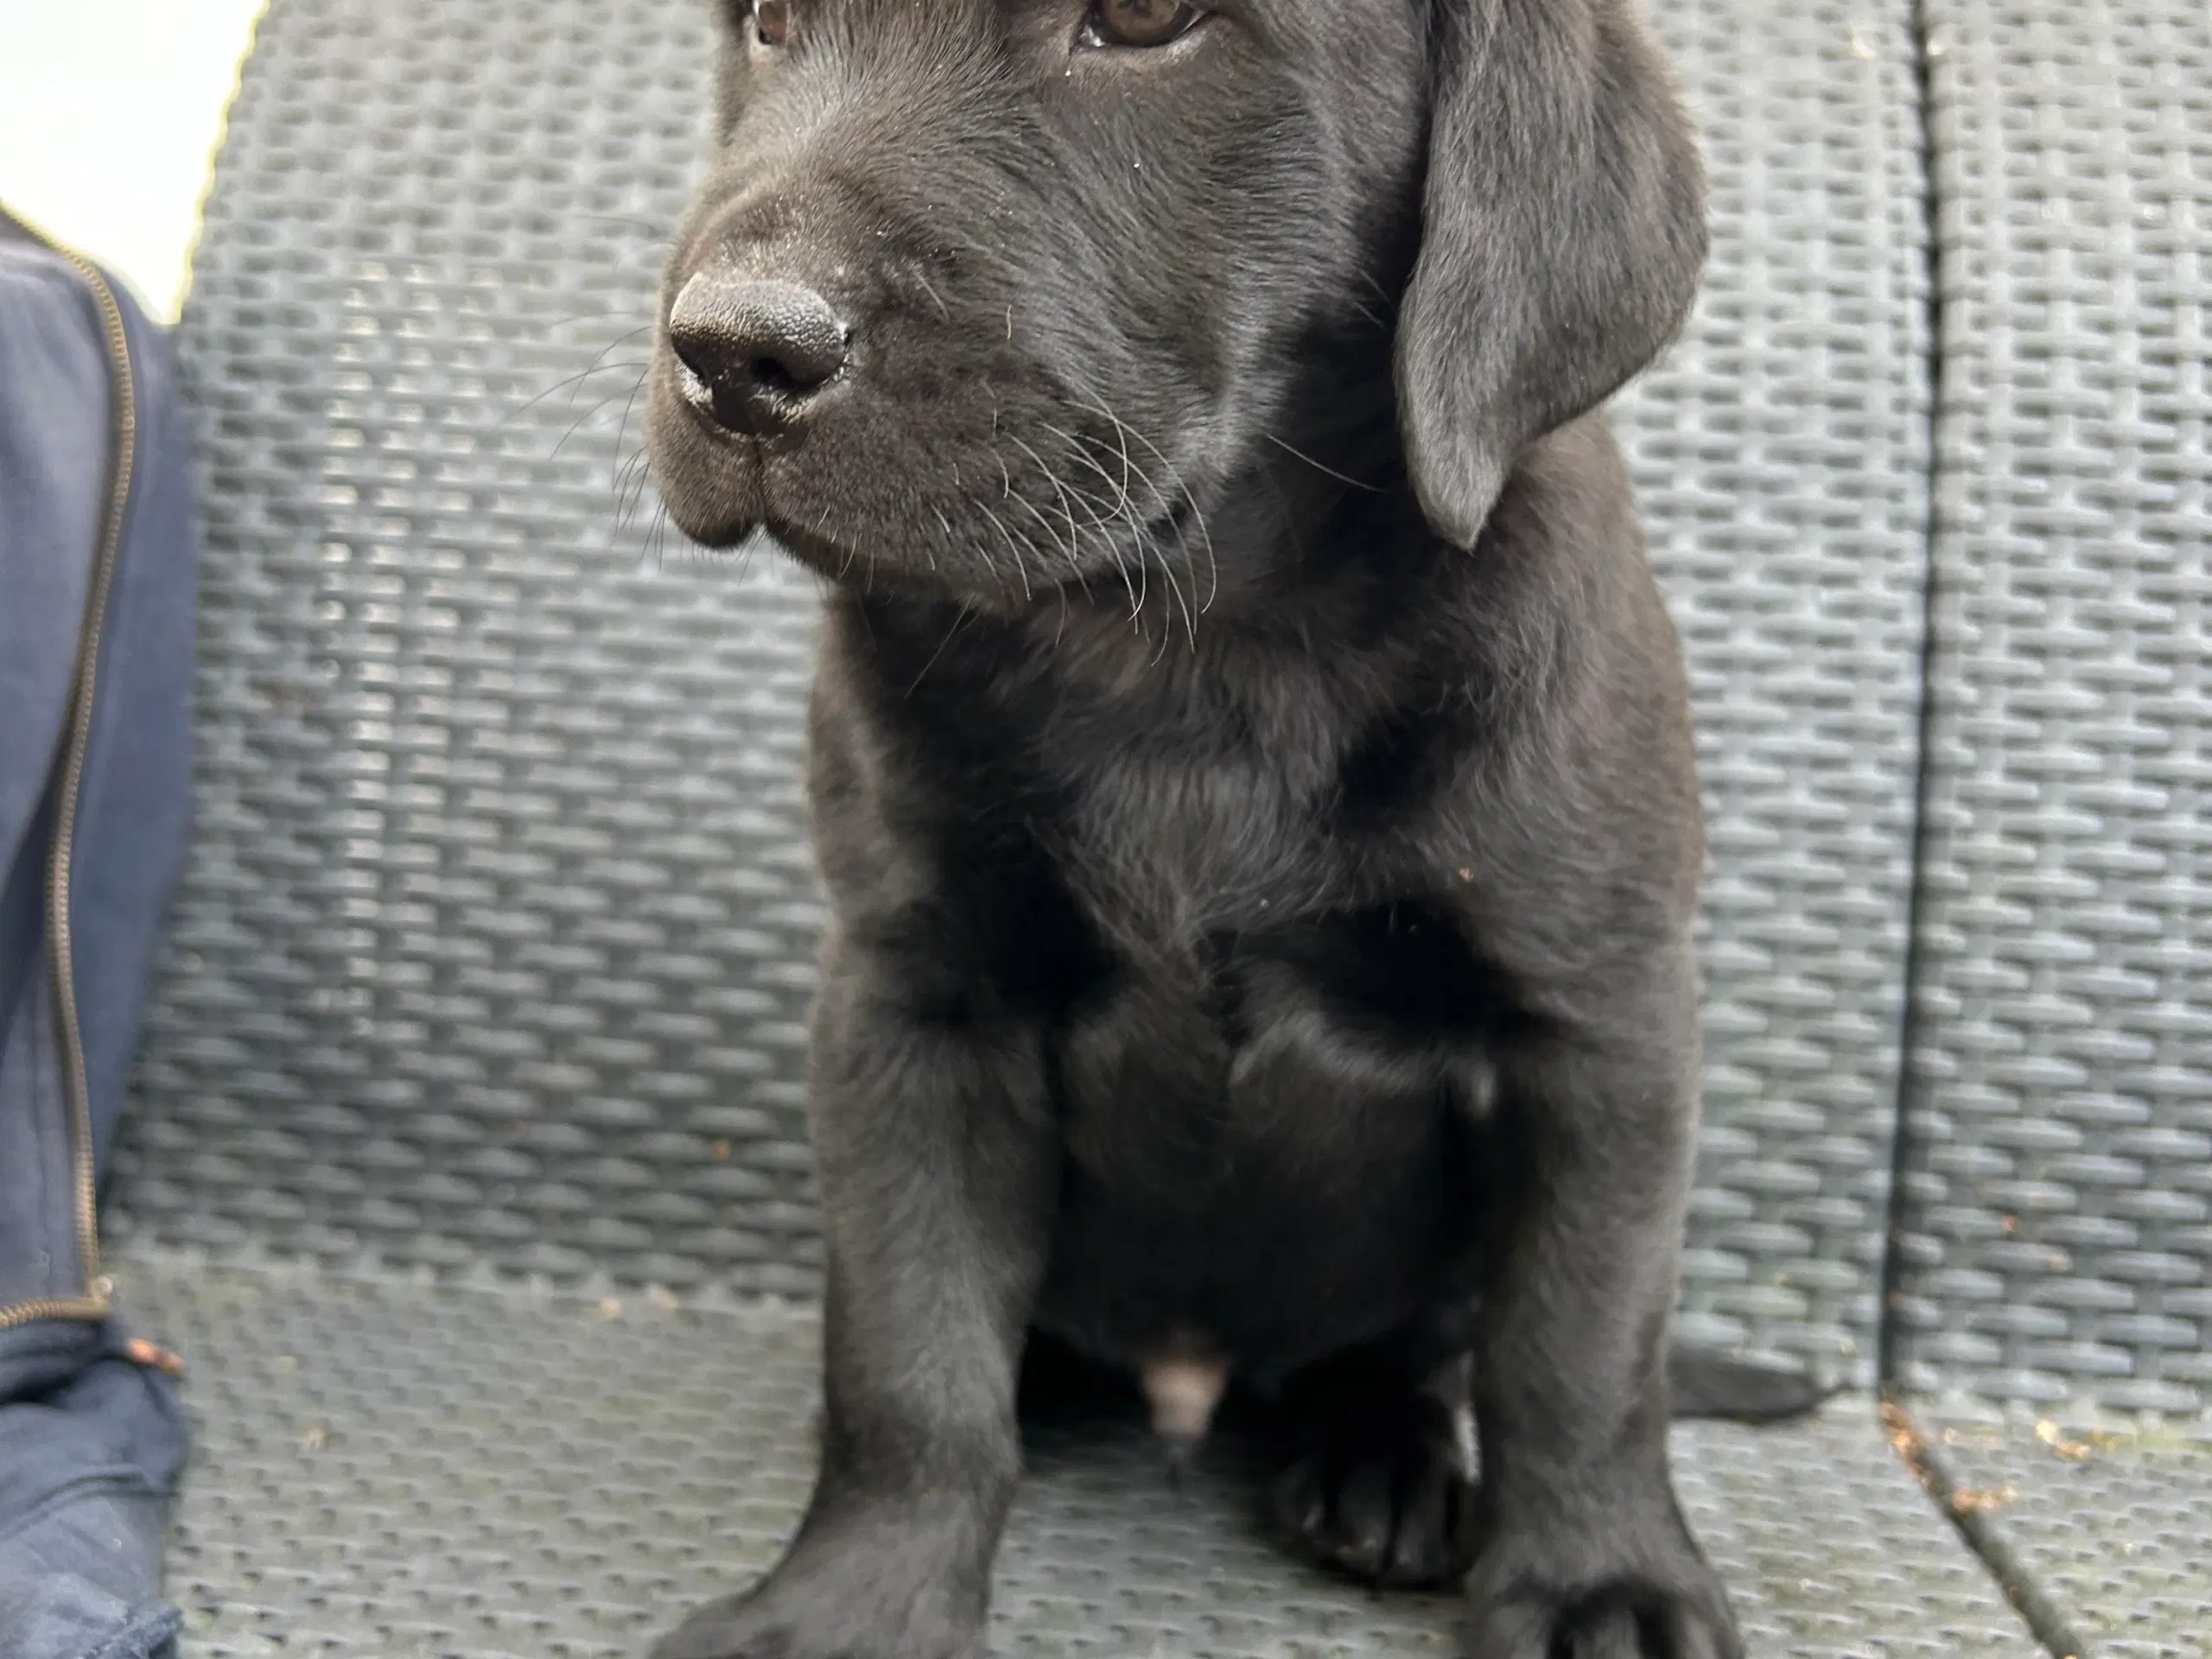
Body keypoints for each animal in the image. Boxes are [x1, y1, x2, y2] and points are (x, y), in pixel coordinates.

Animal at [645, 3, 1814, 1659]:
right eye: (768, 25)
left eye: (1143, 24)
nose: (734, 350)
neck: (1192, 645)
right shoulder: (911, 1004)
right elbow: (910, 1355)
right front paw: (854, 1605)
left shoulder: (1604, 1024)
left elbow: (1580, 1348)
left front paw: (1603, 1584)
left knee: (1414, 1355)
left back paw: (1381, 1462)